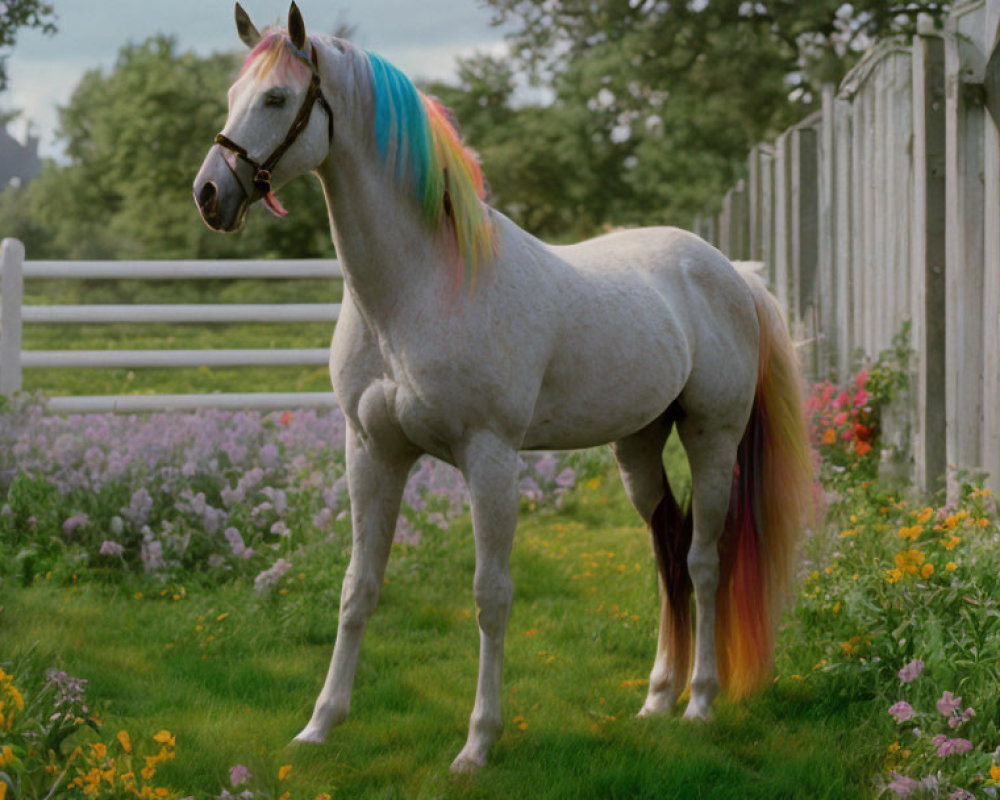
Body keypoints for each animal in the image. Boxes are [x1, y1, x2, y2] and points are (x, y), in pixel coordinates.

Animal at [193, 3, 812, 772]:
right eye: (231, 96)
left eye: (277, 98)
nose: (210, 194)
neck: (419, 287)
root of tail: (732, 274)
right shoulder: (371, 452)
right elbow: (358, 586)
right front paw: (320, 725)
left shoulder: (489, 458)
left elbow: (491, 596)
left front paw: (478, 743)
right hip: (638, 445)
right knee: (668, 546)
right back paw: (657, 700)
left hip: (711, 437)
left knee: (702, 558)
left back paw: (699, 703)